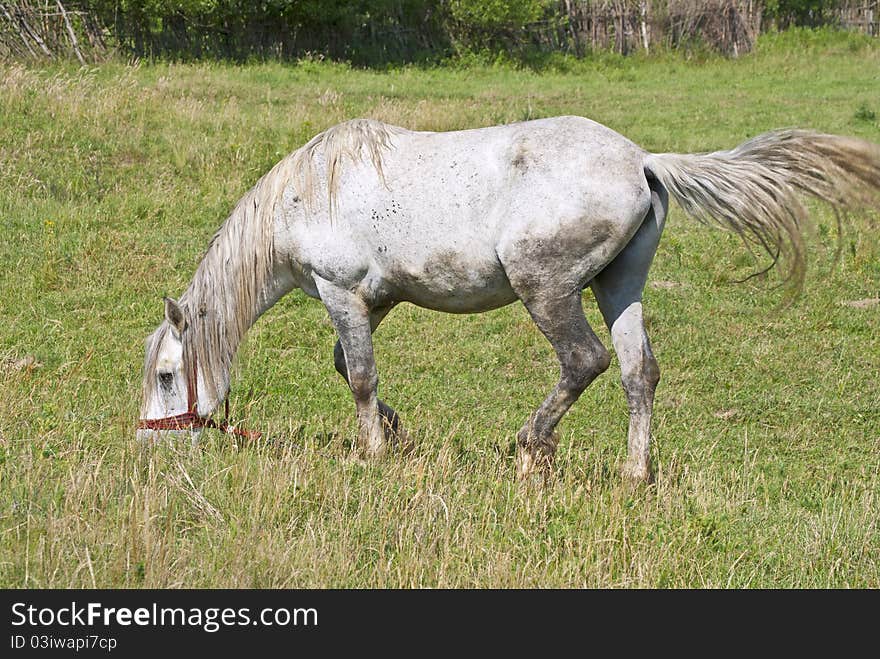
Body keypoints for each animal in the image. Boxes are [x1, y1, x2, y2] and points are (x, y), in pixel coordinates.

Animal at [139, 116, 880, 482]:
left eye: (169, 376)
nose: (154, 444)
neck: (310, 191)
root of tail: (642, 160)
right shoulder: (376, 300)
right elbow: (349, 368)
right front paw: (398, 433)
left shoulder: (340, 292)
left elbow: (360, 377)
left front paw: (370, 451)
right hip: (620, 285)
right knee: (639, 371)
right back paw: (634, 471)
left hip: (546, 289)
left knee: (584, 362)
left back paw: (530, 446)